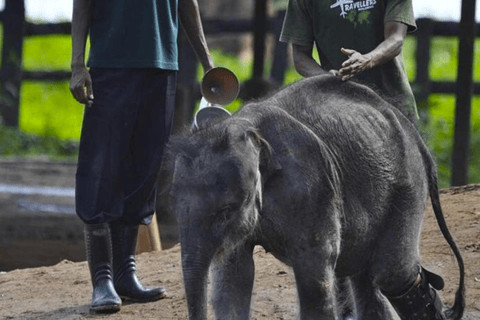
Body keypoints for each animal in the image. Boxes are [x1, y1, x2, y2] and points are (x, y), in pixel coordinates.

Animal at [162, 75, 464, 320]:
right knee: (365, 273)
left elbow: (314, 274)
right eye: (174, 204)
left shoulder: (312, 186)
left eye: (227, 209)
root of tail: (413, 132)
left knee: (393, 274)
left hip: (407, 183)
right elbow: (233, 276)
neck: (249, 132)